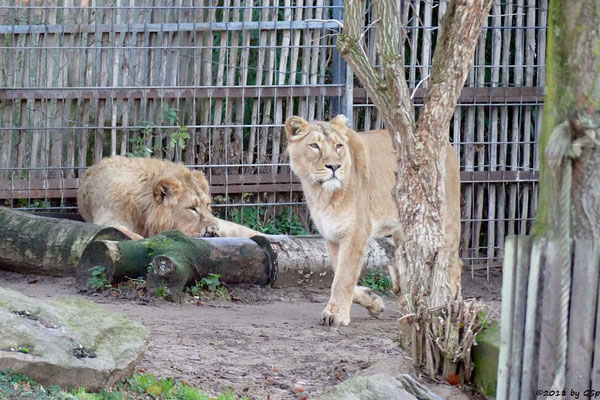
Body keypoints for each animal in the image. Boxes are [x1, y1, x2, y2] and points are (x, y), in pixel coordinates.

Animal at [286, 114, 464, 326]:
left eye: (338, 146)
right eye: (314, 145)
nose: (334, 166)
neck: (321, 192)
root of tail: (447, 145)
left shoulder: (355, 233)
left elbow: (343, 278)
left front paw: (335, 315)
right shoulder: (333, 236)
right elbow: (339, 274)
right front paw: (373, 302)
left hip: (446, 222)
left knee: (454, 263)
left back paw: (447, 308)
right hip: (404, 232)